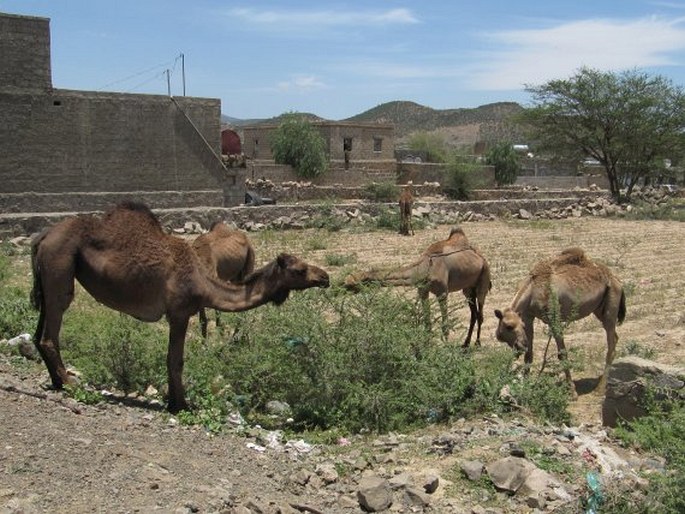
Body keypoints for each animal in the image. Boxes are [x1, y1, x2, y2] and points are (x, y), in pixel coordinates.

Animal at [30, 201, 330, 412]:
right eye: (300, 270)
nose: (325, 277)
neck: (203, 281)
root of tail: (42, 237)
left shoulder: (180, 314)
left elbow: (173, 358)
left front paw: (173, 401)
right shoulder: (179, 312)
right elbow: (176, 359)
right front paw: (180, 404)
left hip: (49, 277)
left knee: (37, 333)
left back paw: (57, 381)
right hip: (60, 266)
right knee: (52, 328)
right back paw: (70, 384)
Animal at [344, 226, 488, 346]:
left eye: (352, 284)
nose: (343, 287)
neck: (423, 268)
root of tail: (480, 256)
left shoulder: (442, 292)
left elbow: (445, 325)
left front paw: (446, 349)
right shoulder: (422, 290)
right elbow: (427, 324)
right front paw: (426, 347)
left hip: (484, 277)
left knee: (480, 312)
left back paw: (477, 343)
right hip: (468, 288)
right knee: (474, 313)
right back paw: (466, 343)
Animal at [492, 246, 624, 394]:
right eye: (510, 326)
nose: (521, 345)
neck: (532, 290)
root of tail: (617, 280)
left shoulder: (553, 318)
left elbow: (562, 353)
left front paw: (572, 391)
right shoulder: (528, 316)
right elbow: (529, 355)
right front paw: (525, 388)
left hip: (611, 303)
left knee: (611, 344)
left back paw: (599, 388)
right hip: (599, 309)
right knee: (615, 337)